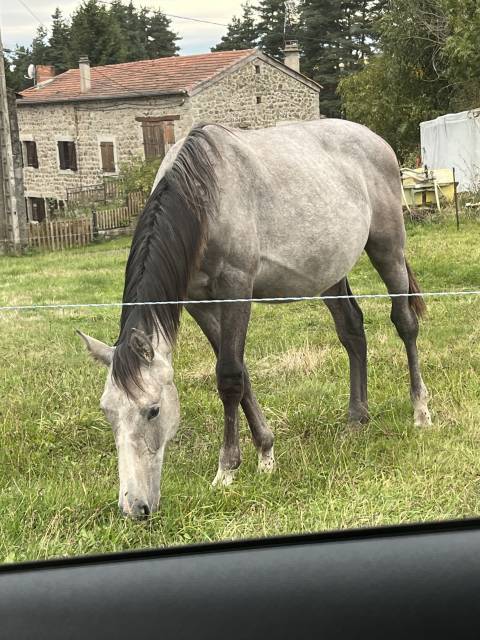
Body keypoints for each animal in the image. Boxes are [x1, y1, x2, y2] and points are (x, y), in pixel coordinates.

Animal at [79, 120, 432, 520]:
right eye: (108, 412)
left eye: (152, 410)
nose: (133, 506)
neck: (204, 196)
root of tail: (377, 142)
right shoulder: (199, 303)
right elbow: (242, 374)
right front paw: (265, 452)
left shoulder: (236, 289)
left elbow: (229, 377)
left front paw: (227, 470)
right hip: (329, 273)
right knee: (352, 331)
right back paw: (356, 421)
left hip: (388, 249)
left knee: (405, 323)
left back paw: (421, 411)